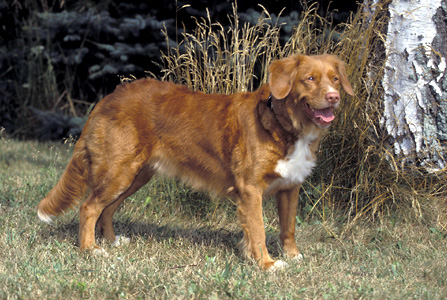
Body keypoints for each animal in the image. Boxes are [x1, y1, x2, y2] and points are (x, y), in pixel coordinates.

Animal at [37, 53, 354, 270]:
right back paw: (90, 250)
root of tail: (109, 98)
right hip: (120, 170)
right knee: (89, 207)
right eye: (309, 79)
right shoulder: (250, 189)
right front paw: (266, 264)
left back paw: (112, 241)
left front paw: (293, 256)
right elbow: (259, 230)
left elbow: (288, 227)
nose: (334, 97)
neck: (282, 122)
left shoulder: (291, 186)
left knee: (107, 208)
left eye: (335, 79)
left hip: (136, 175)